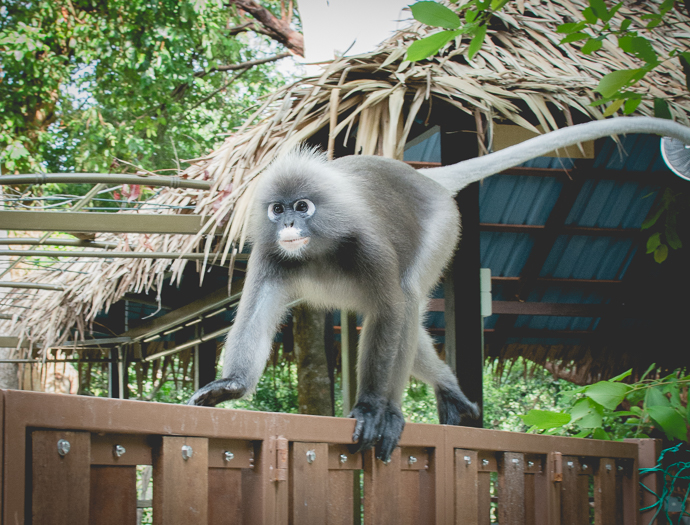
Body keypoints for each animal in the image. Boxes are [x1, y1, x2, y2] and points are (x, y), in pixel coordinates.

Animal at [188, 116, 688, 460]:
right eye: (278, 209)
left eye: (303, 207)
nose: (288, 225)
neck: (320, 250)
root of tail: (425, 177)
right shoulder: (271, 254)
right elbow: (256, 311)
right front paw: (230, 387)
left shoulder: (368, 246)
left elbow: (391, 310)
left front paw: (370, 408)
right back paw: (452, 393)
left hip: (444, 227)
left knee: (406, 299)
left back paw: (391, 413)